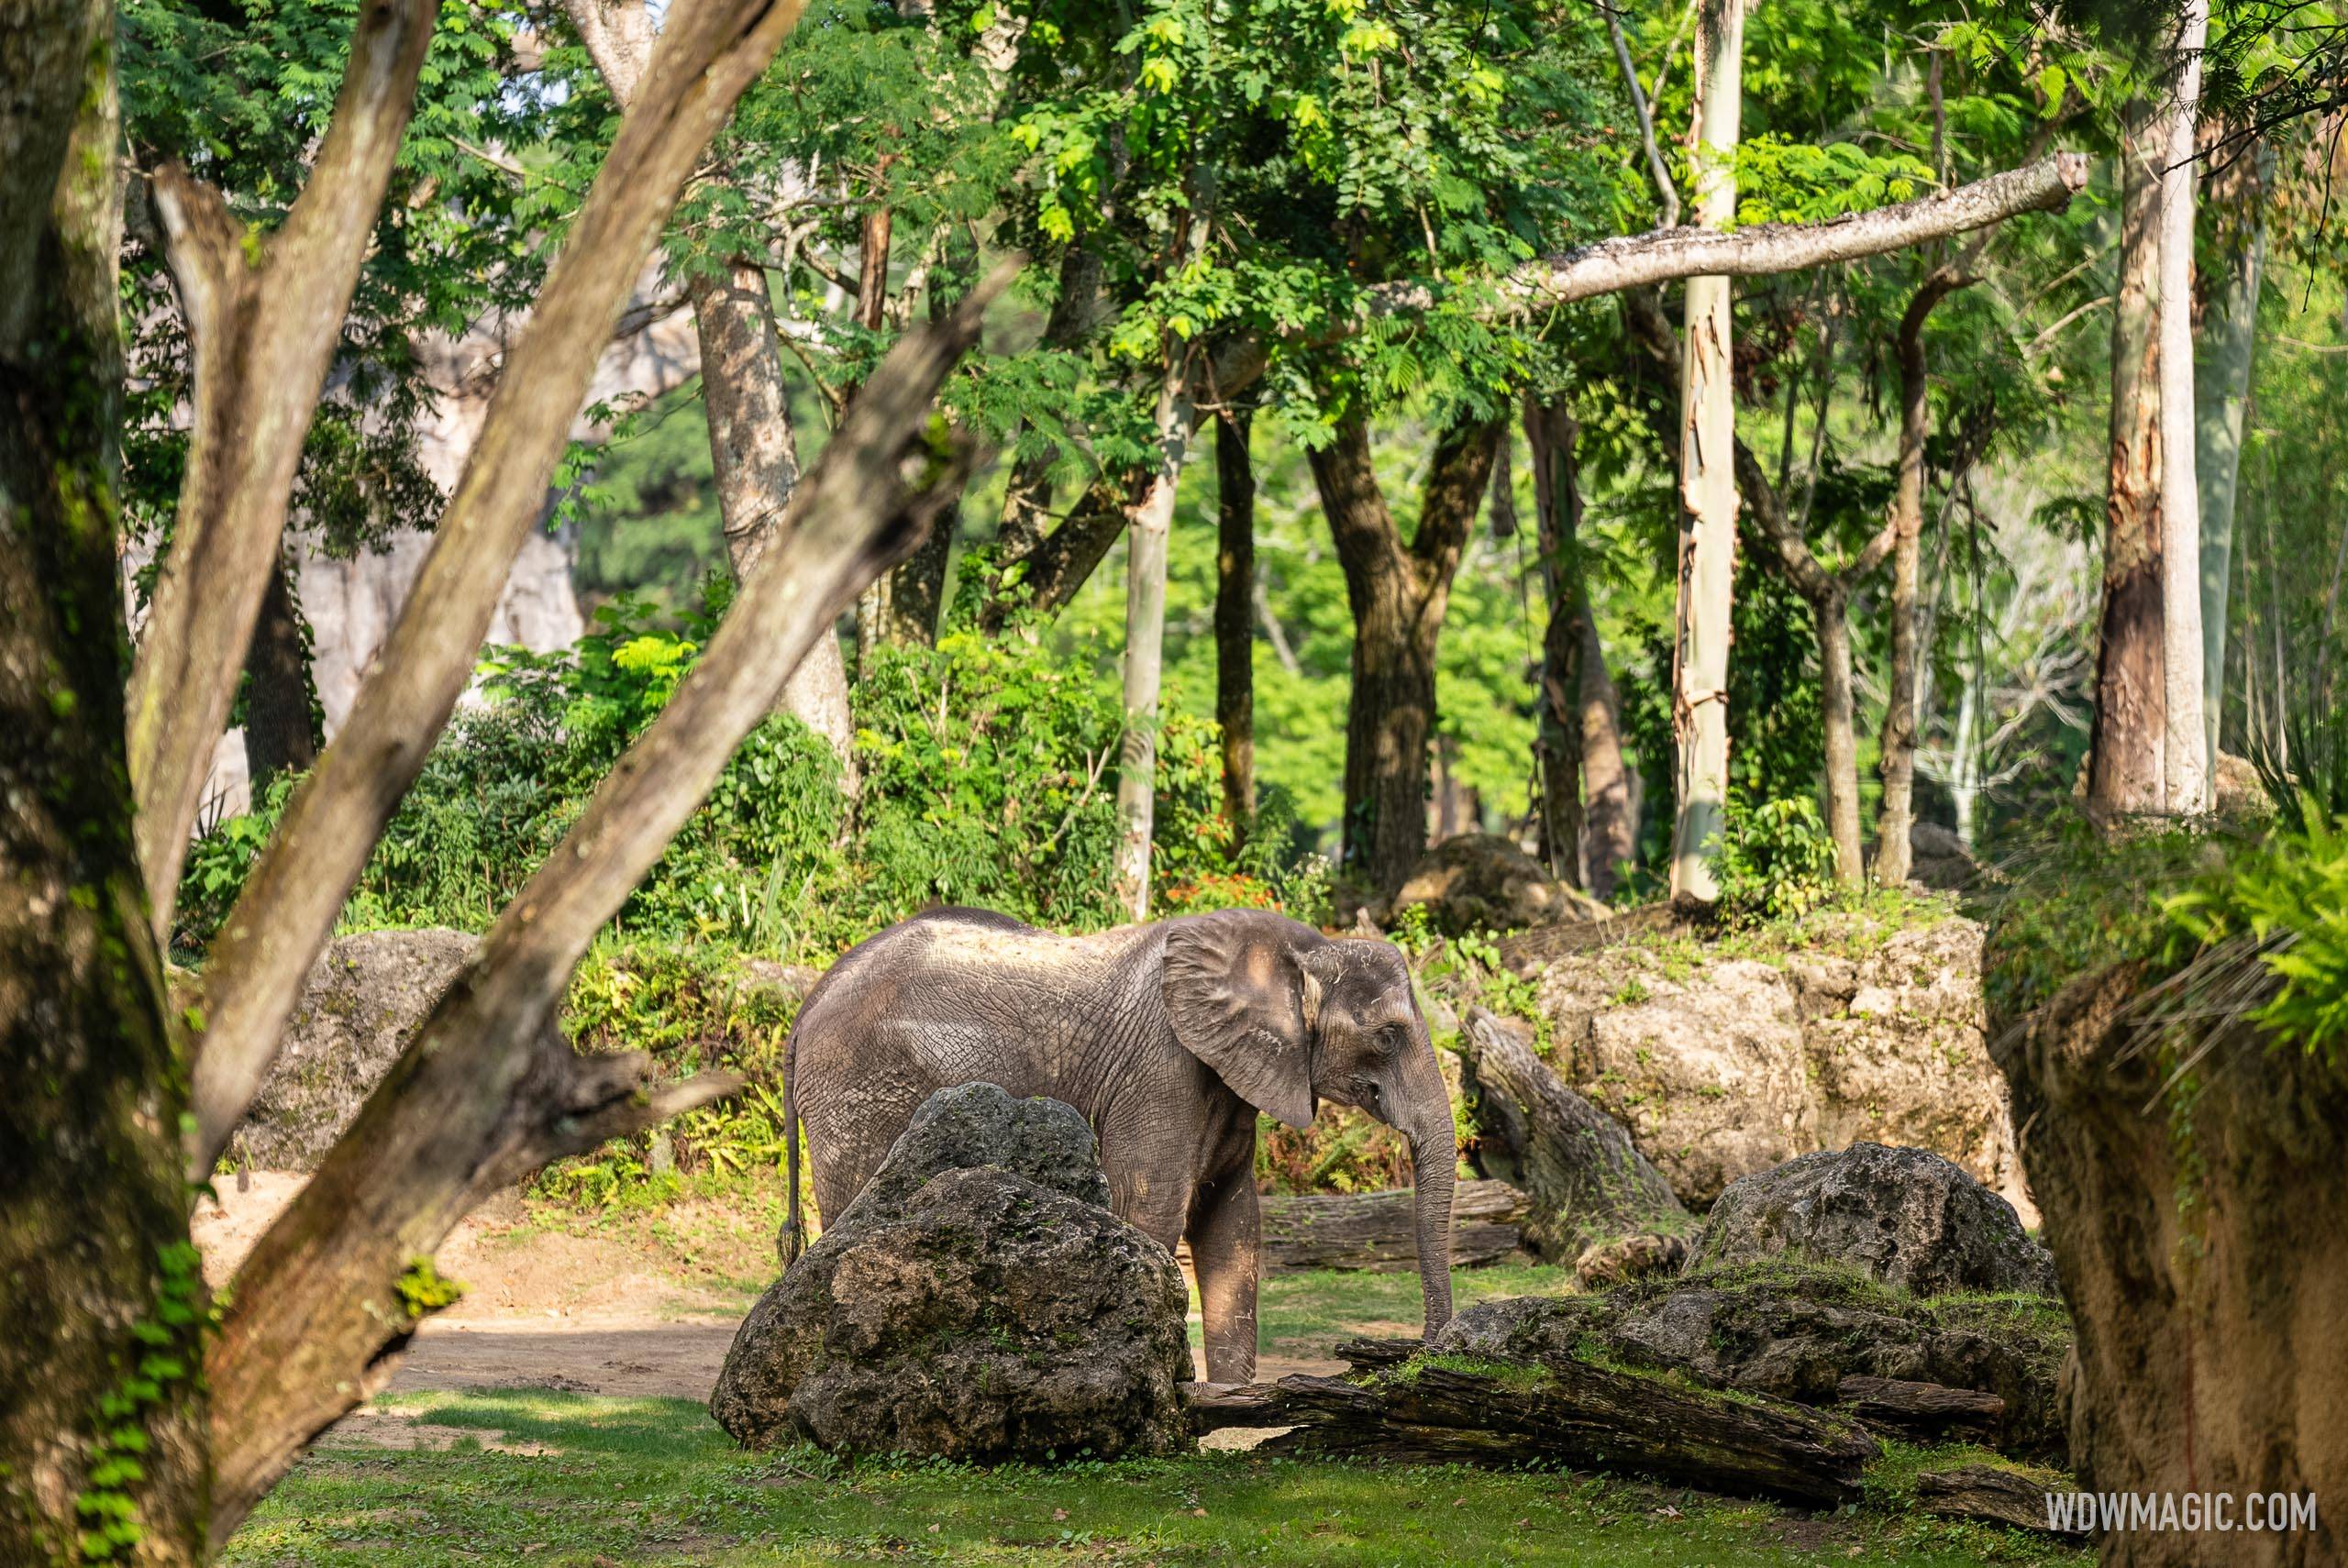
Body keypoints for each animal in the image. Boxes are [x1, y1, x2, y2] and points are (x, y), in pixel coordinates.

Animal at [784, 900, 1445, 1380]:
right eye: (1387, 1037)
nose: (1426, 1354)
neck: (1300, 947)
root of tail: (811, 1000)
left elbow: (1232, 1224)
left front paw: (1231, 1399)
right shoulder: (1160, 1070)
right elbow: (1152, 1209)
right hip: (858, 1091)